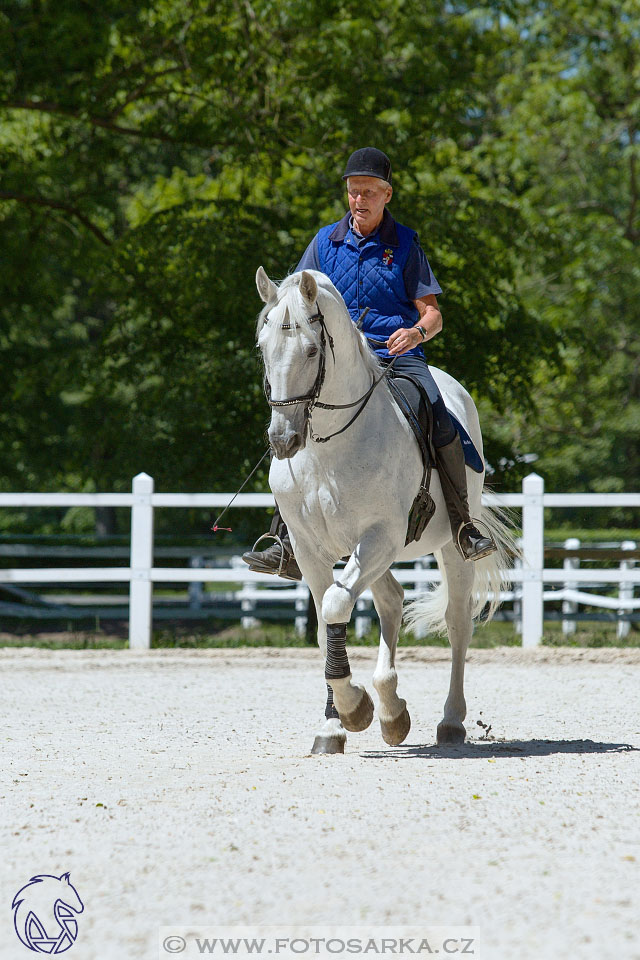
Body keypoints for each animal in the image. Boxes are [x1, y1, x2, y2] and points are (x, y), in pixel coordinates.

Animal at [255, 266, 516, 752]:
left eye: (312, 349)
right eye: (264, 348)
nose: (283, 440)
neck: (330, 446)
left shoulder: (379, 537)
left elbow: (337, 605)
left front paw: (356, 707)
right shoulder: (309, 548)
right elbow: (326, 624)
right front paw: (335, 723)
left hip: (448, 547)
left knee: (457, 622)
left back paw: (450, 722)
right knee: (391, 600)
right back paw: (392, 713)